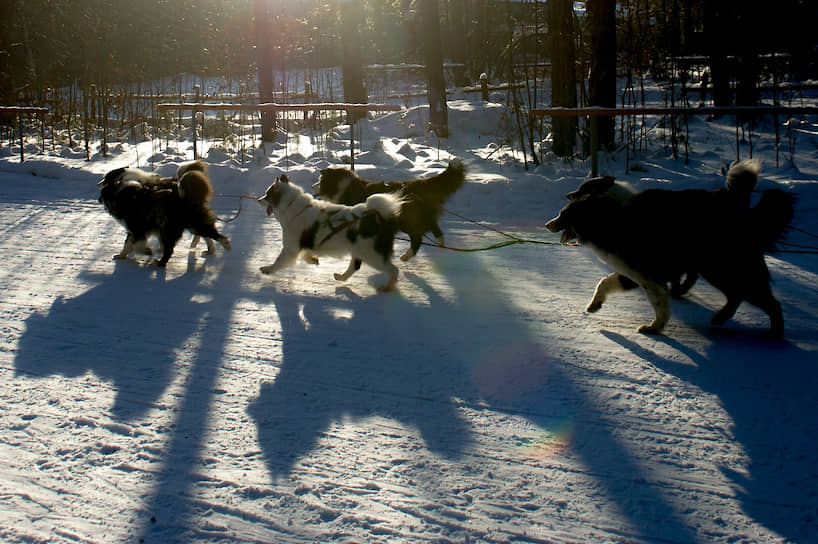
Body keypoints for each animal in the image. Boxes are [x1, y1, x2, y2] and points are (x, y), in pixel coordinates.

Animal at [98, 159, 230, 266]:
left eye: (105, 178)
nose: (98, 199)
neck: (119, 194)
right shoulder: (134, 229)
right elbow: (128, 244)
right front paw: (121, 255)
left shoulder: (137, 227)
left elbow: (137, 245)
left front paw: (147, 250)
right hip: (190, 225)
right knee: (206, 235)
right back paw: (212, 248)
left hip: (171, 228)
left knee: (172, 248)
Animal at [258, 176, 402, 292]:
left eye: (267, 195)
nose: (258, 199)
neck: (291, 205)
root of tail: (377, 216)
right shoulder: (303, 244)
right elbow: (306, 255)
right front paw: (313, 260)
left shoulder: (290, 247)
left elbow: (279, 261)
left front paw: (268, 269)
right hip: (359, 251)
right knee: (354, 267)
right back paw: (341, 277)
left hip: (371, 255)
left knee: (393, 270)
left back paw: (387, 288)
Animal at [544, 162, 792, 338]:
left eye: (563, 214)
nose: (547, 225)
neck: (609, 216)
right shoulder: (632, 272)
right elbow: (605, 282)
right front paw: (595, 304)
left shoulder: (648, 276)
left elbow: (659, 304)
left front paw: (655, 327)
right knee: (736, 296)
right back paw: (719, 317)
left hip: (722, 268)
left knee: (765, 301)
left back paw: (773, 333)